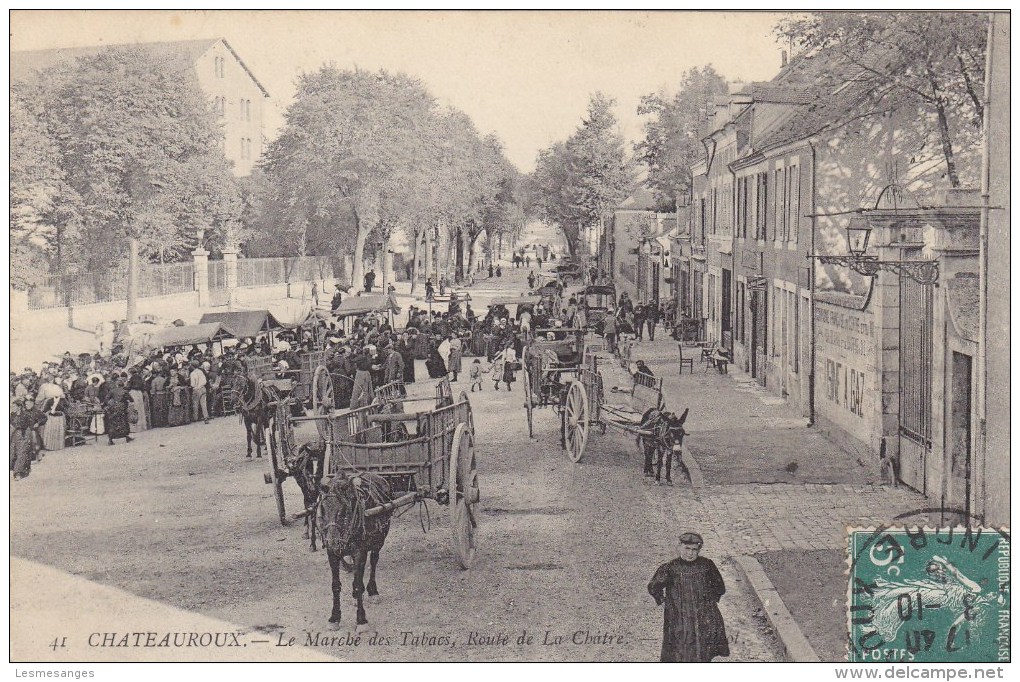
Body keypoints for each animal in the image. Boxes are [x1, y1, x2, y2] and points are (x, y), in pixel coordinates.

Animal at [316, 473, 395, 627]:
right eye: (322, 508)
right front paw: (334, 617)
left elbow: (359, 585)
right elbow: (336, 585)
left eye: (343, 509)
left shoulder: (360, 552)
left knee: (374, 561)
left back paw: (373, 591)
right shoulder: (332, 554)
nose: (333, 542)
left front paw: (361, 620)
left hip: (379, 541)